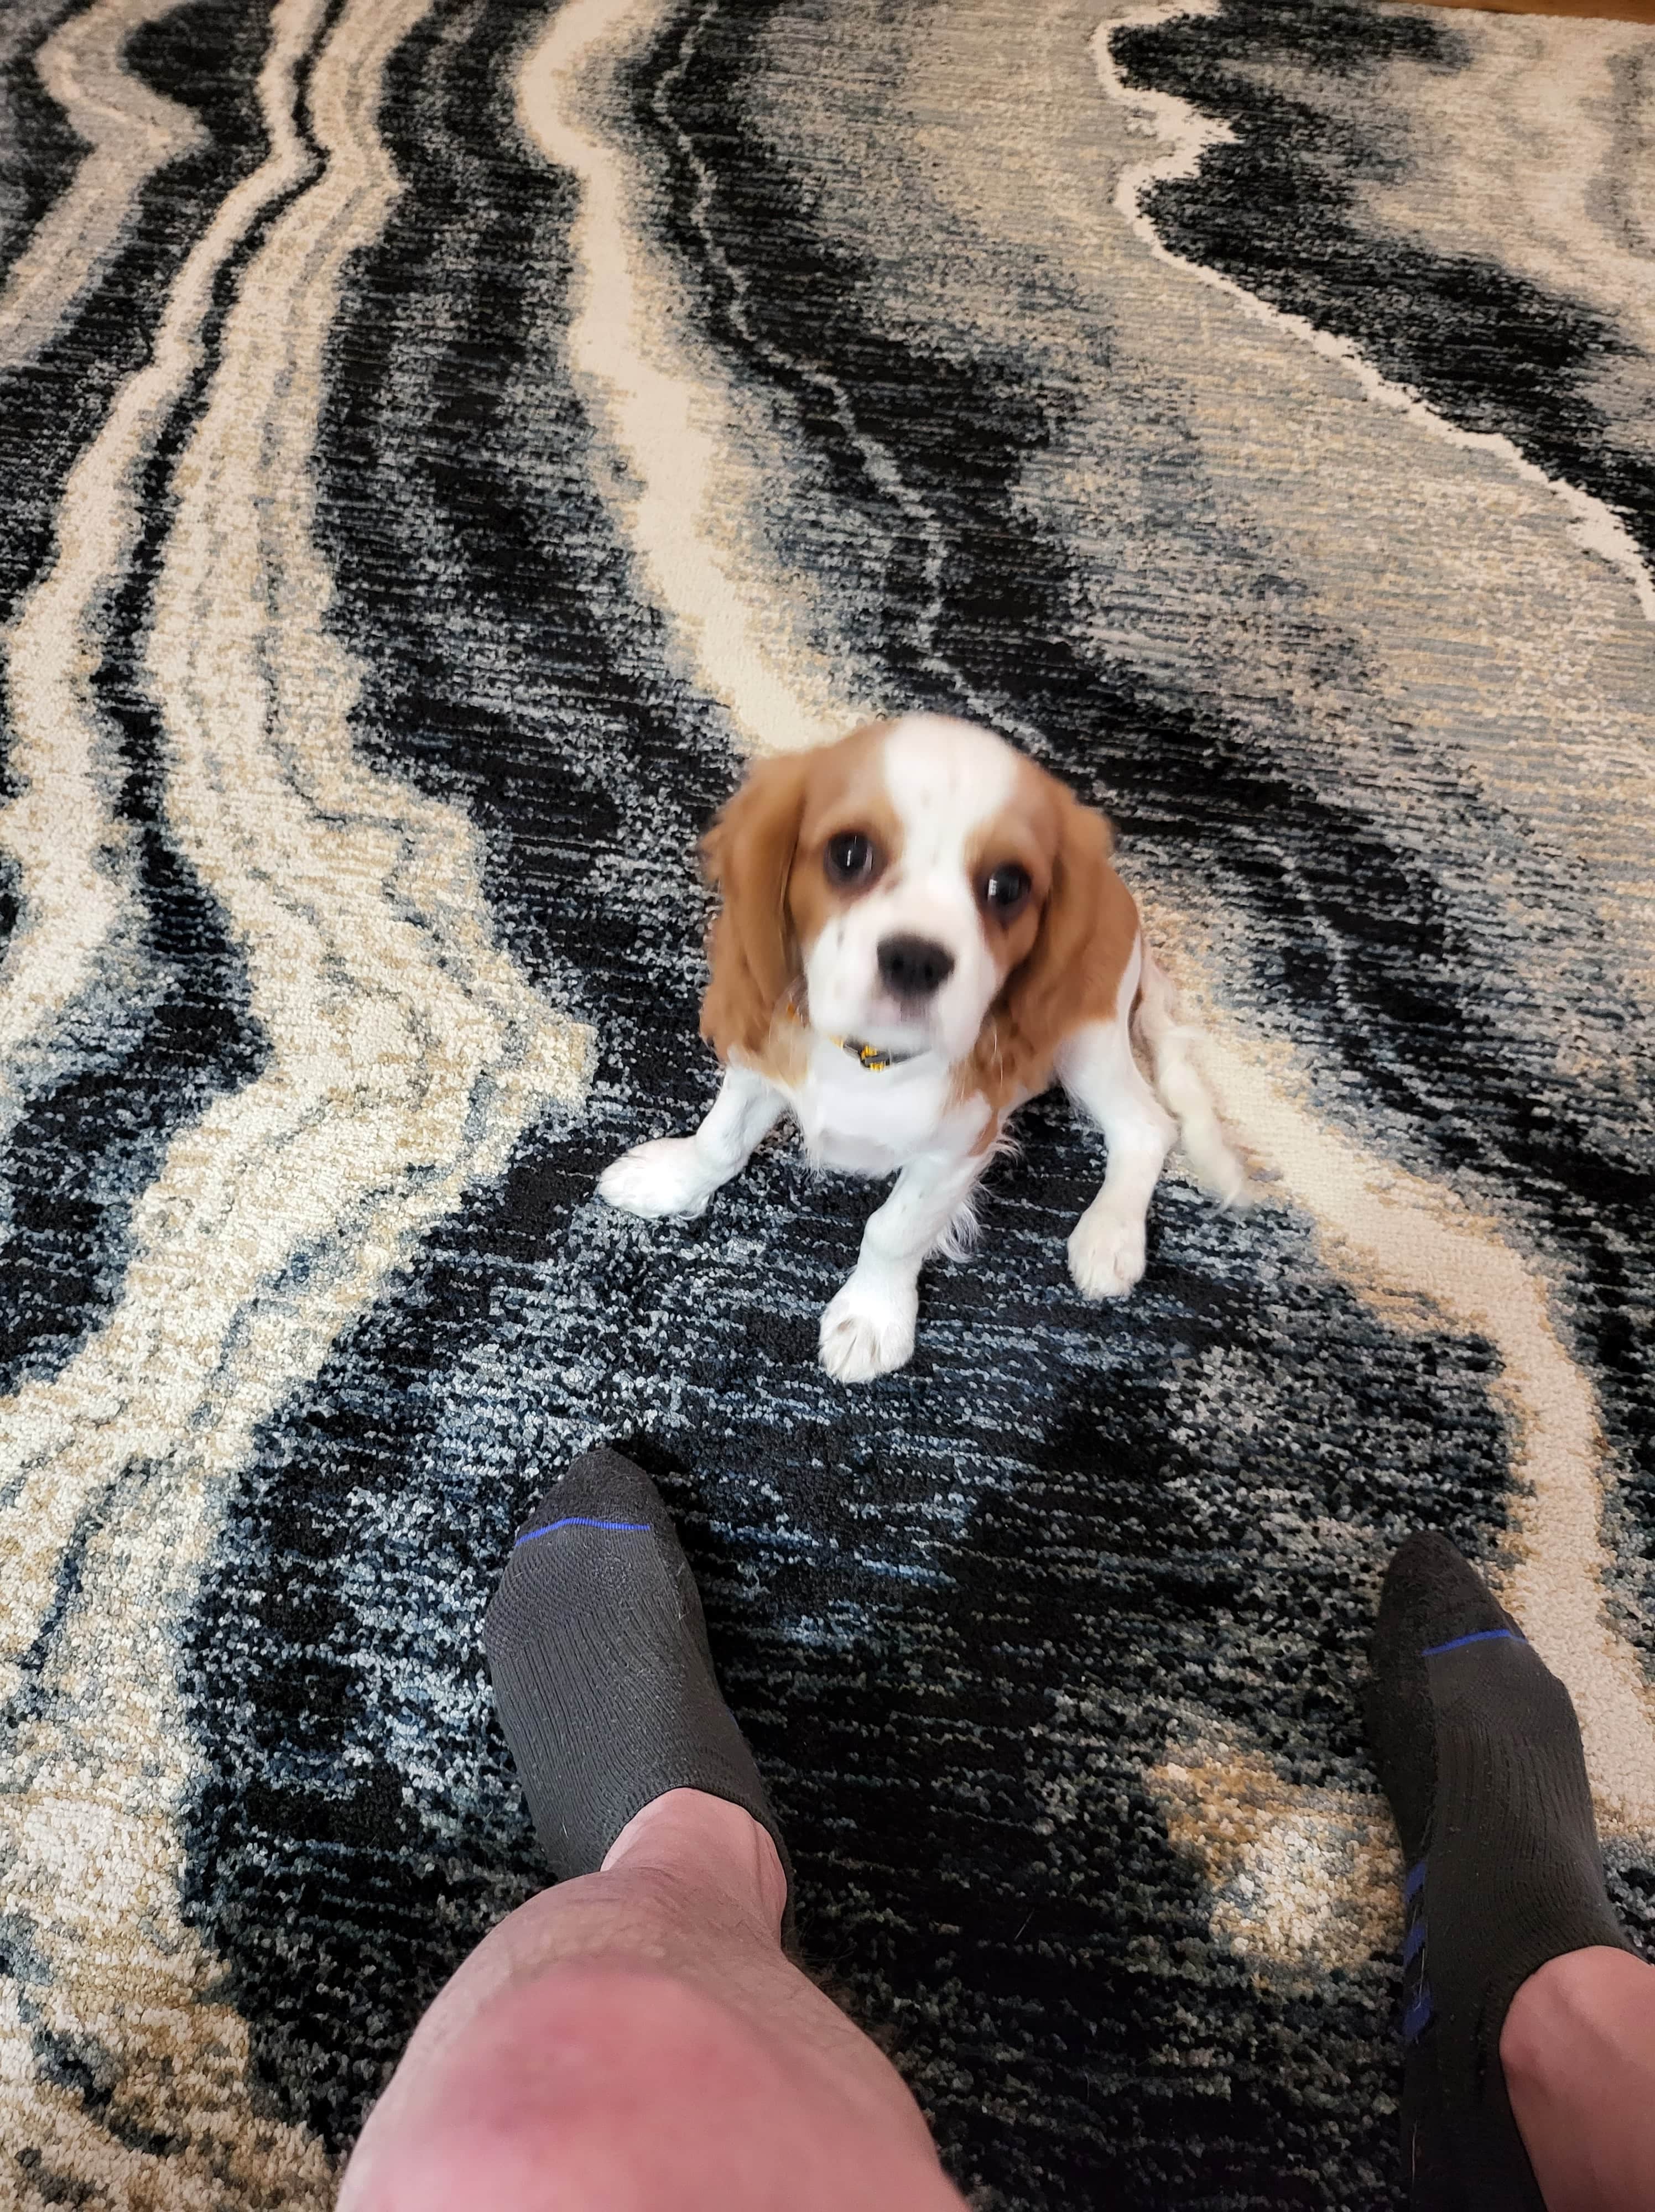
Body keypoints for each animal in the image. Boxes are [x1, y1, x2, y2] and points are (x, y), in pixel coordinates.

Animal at [599, 713, 1246, 1381]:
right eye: (848, 853)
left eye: (1008, 886)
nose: (915, 959)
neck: (871, 1060)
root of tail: (1124, 903)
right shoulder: (762, 1064)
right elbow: (720, 1141)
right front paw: (669, 1179)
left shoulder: (957, 1150)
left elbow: (894, 1231)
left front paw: (871, 1318)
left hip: (1083, 1039)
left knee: (1147, 1126)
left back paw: (1110, 1235)